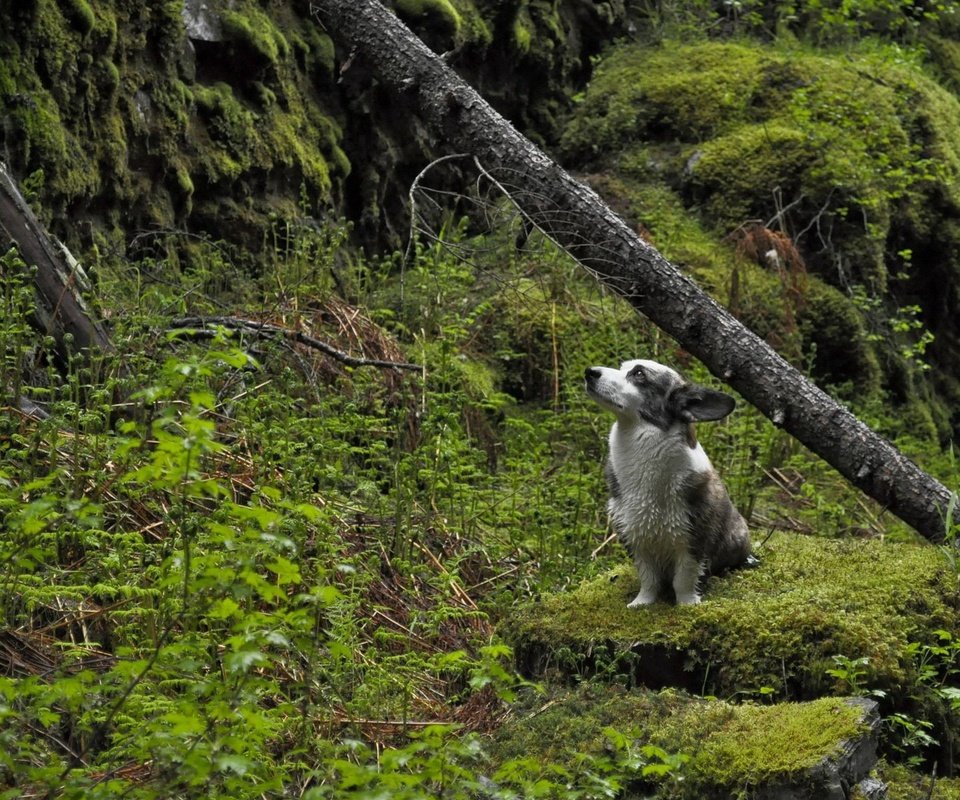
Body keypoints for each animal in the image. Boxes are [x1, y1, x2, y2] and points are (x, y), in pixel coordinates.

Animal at [580, 360, 752, 604]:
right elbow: (649, 579)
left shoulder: (694, 539)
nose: (589, 372)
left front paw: (687, 604)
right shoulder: (635, 538)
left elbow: (684, 579)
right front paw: (642, 603)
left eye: (639, 374)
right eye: (622, 367)